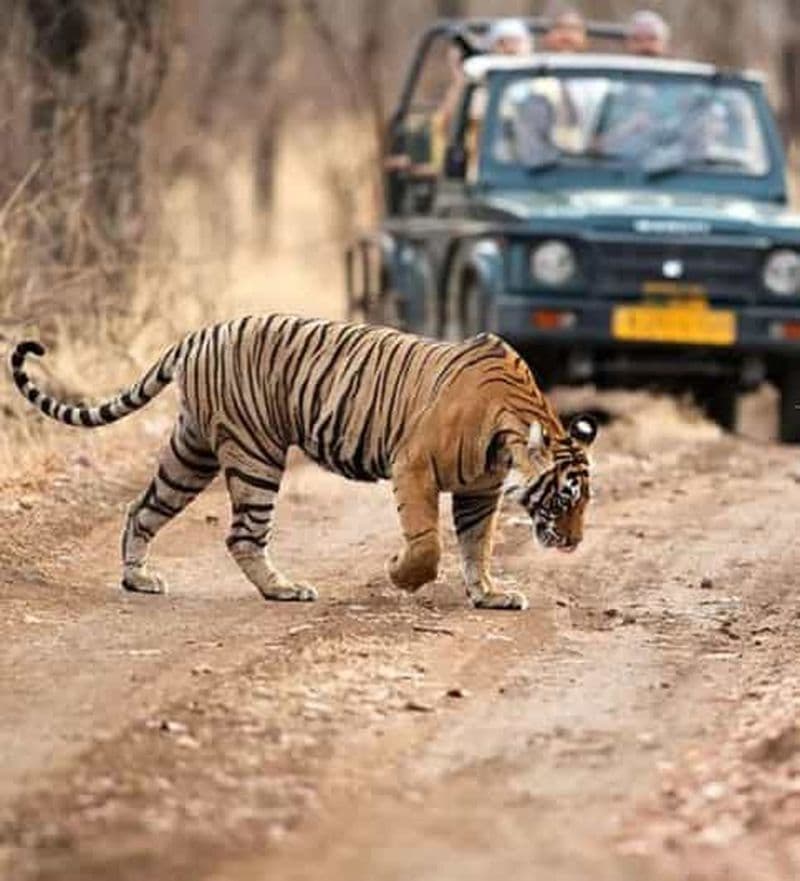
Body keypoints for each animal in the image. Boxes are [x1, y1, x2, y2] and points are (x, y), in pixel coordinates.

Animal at [9, 314, 597, 611]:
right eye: (564, 497)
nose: (574, 543)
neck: (510, 431)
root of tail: (199, 334)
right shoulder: (413, 466)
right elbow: (428, 543)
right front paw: (400, 574)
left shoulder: (480, 490)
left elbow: (478, 545)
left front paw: (490, 594)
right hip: (255, 453)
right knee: (242, 535)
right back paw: (283, 589)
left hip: (192, 451)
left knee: (142, 508)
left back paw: (138, 579)